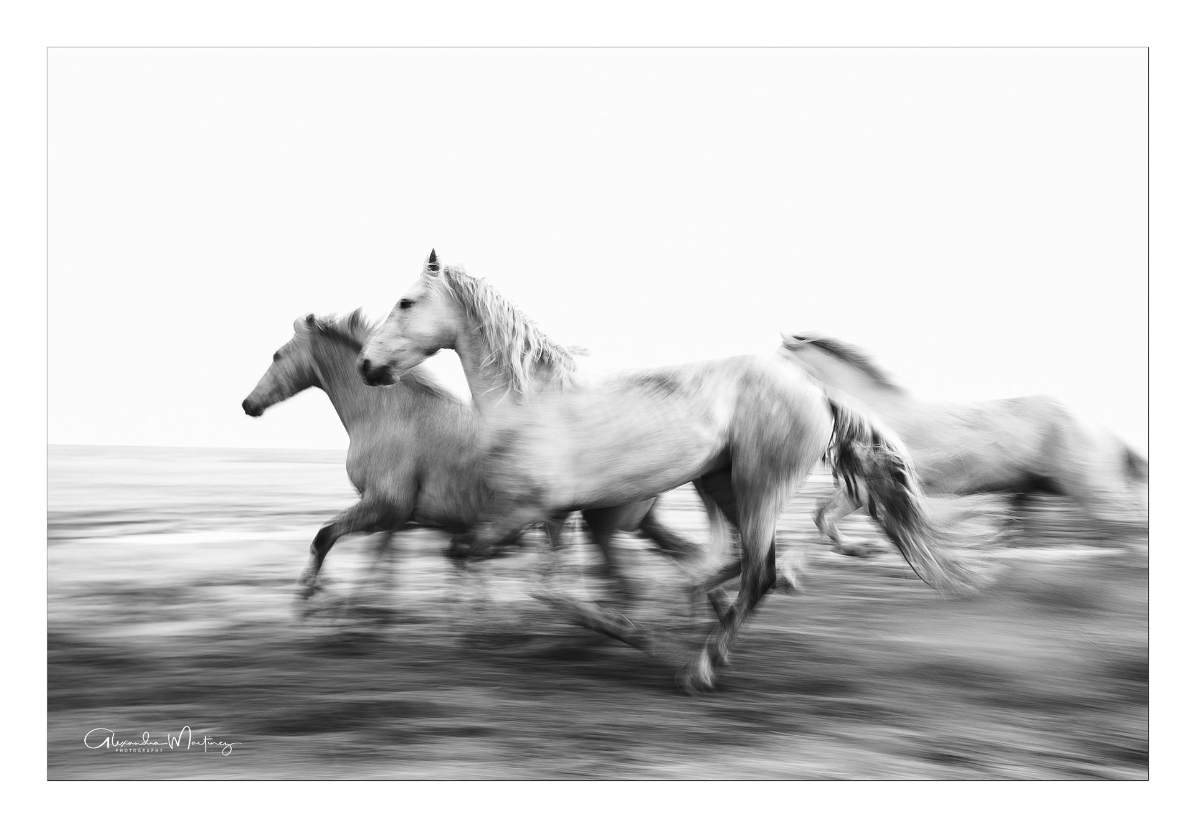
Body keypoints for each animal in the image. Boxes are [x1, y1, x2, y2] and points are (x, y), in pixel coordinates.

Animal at [240, 310, 710, 606]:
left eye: (277, 354)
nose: (249, 404)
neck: (388, 414)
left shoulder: (385, 506)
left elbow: (325, 537)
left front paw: (311, 597)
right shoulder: (396, 515)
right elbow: (383, 564)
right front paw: (362, 614)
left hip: (603, 525)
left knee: (626, 580)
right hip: (628, 523)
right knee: (684, 558)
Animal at [357, 251, 984, 693]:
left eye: (406, 302)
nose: (366, 365)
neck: (530, 402)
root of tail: (816, 390)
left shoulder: (525, 512)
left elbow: (522, 577)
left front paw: (638, 635)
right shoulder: (556, 517)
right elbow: (527, 576)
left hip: (759, 483)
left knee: (758, 571)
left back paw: (700, 665)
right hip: (719, 481)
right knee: (744, 563)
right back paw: (700, 621)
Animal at [777, 333, 1148, 555]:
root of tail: (1103, 431)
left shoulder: (870, 490)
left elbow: (826, 517)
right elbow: (821, 516)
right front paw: (856, 550)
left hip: (1091, 488)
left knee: (1128, 525)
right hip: (1039, 490)